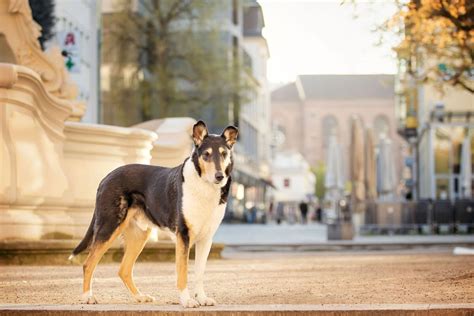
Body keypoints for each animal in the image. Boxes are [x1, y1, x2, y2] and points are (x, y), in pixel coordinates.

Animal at [69, 121, 239, 308]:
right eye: (207, 155)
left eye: (224, 154)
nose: (219, 176)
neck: (204, 185)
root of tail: (106, 177)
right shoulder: (183, 235)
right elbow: (183, 271)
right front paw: (187, 300)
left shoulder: (206, 238)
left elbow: (199, 272)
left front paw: (201, 298)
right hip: (109, 227)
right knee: (88, 263)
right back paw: (88, 297)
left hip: (139, 235)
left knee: (124, 269)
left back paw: (140, 297)